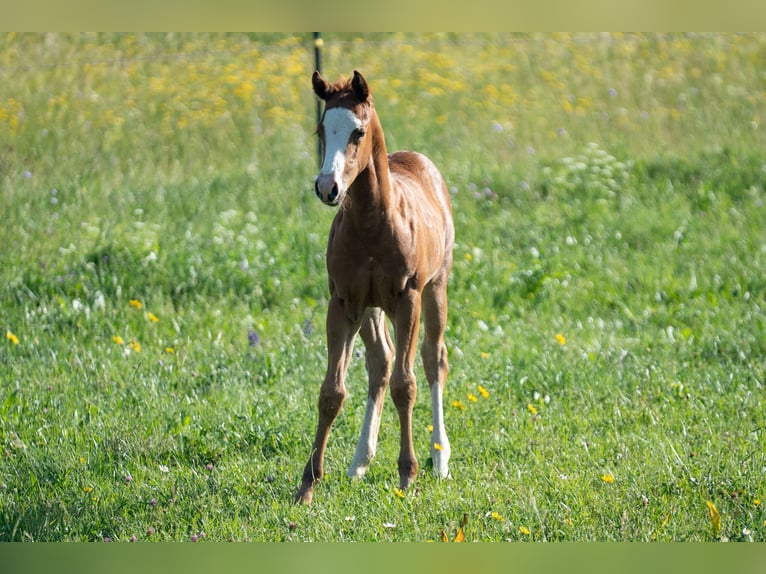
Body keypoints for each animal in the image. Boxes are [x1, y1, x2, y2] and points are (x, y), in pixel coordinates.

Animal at [295, 70, 455, 505]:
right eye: (321, 129)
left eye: (358, 132)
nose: (327, 187)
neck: (371, 222)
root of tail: (418, 159)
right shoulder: (342, 302)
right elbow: (332, 392)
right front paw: (307, 484)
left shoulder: (407, 300)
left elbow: (406, 384)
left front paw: (407, 474)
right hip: (370, 308)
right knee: (380, 362)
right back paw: (359, 462)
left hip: (436, 287)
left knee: (433, 359)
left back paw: (440, 457)